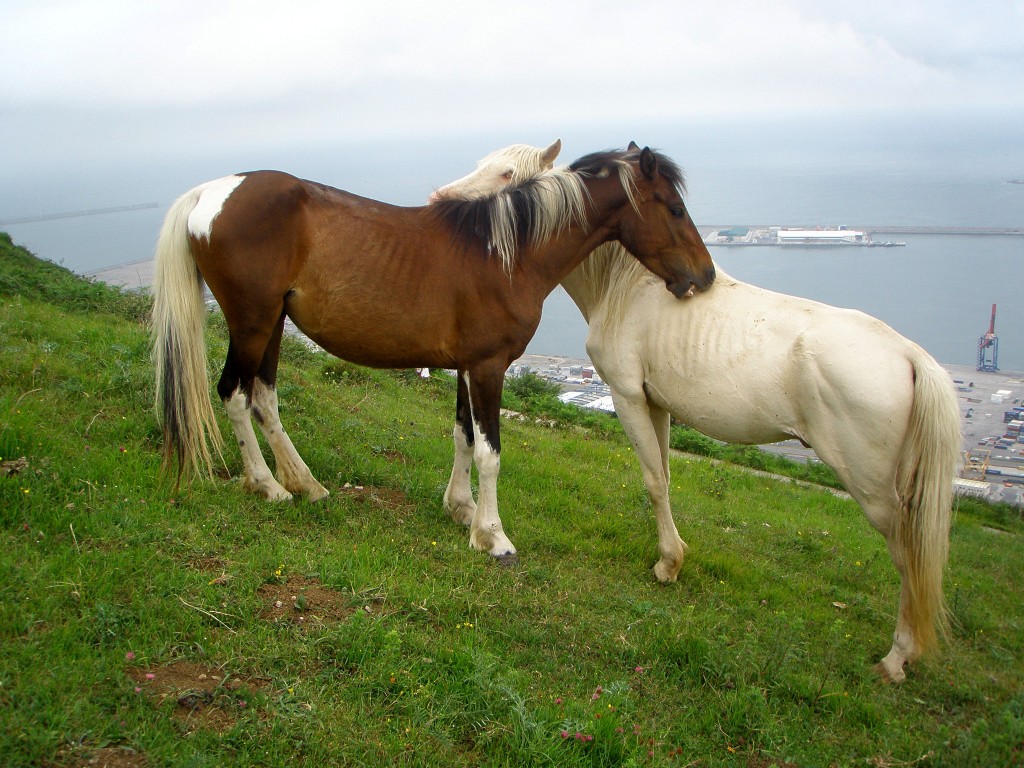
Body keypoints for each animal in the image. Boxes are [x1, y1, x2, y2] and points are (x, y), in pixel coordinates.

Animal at [151, 145, 717, 562]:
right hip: (252, 323)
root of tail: (210, 192)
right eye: (675, 208)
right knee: (234, 394)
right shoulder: (488, 367)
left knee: (263, 398)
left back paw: (305, 483)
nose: (705, 275)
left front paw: (463, 511)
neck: (507, 254)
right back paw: (267, 485)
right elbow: (489, 451)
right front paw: (494, 536)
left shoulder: (467, 366)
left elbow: (463, 436)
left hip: (271, 325)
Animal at [431, 142, 962, 682]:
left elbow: (652, 480)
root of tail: (910, 357)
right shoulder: (658, 404)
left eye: (506, 173)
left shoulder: (627, 395)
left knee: (909, 555)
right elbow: (664, 474)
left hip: (874, 489)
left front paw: (668, 564)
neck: (628, 285)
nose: (439, 200)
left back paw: (897, 657)